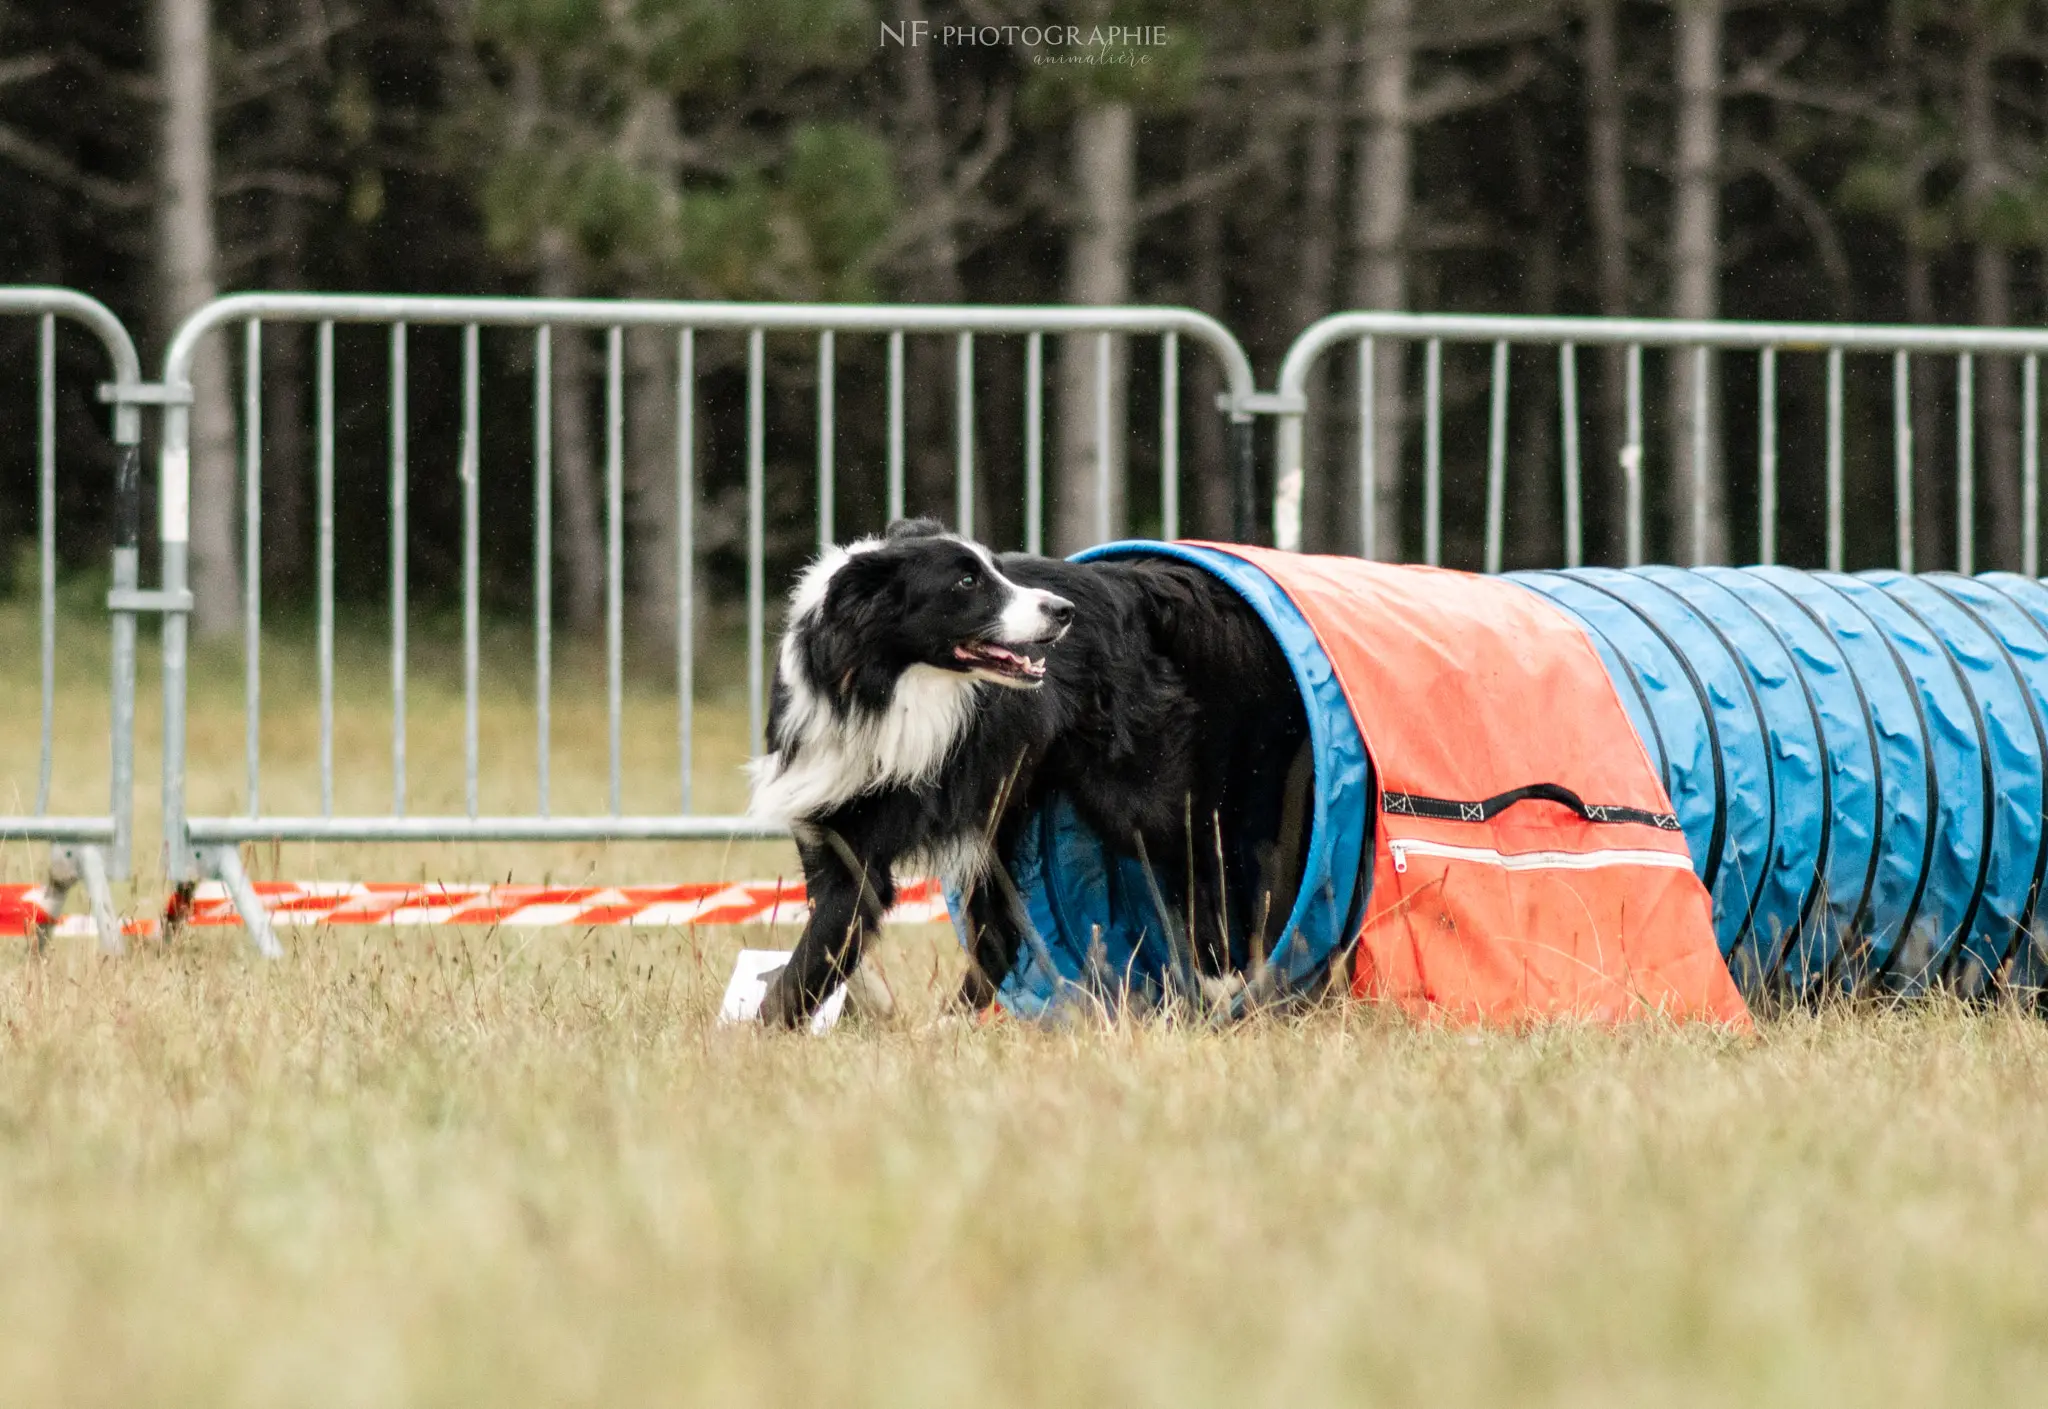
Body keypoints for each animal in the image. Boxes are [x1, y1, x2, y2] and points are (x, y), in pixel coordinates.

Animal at [745, 522, 1302, 1028]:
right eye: (966, 582)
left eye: (994, 569)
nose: (1063, 612)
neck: (877, 691)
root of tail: (1129, 583)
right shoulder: (829, 829)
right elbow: (827, 938)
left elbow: (820, 946)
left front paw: (757, 1034)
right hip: (1001, 812)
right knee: (998, 934)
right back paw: (949, 1023)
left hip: (1135, 793)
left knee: (1203, 852)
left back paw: (1224, 976)